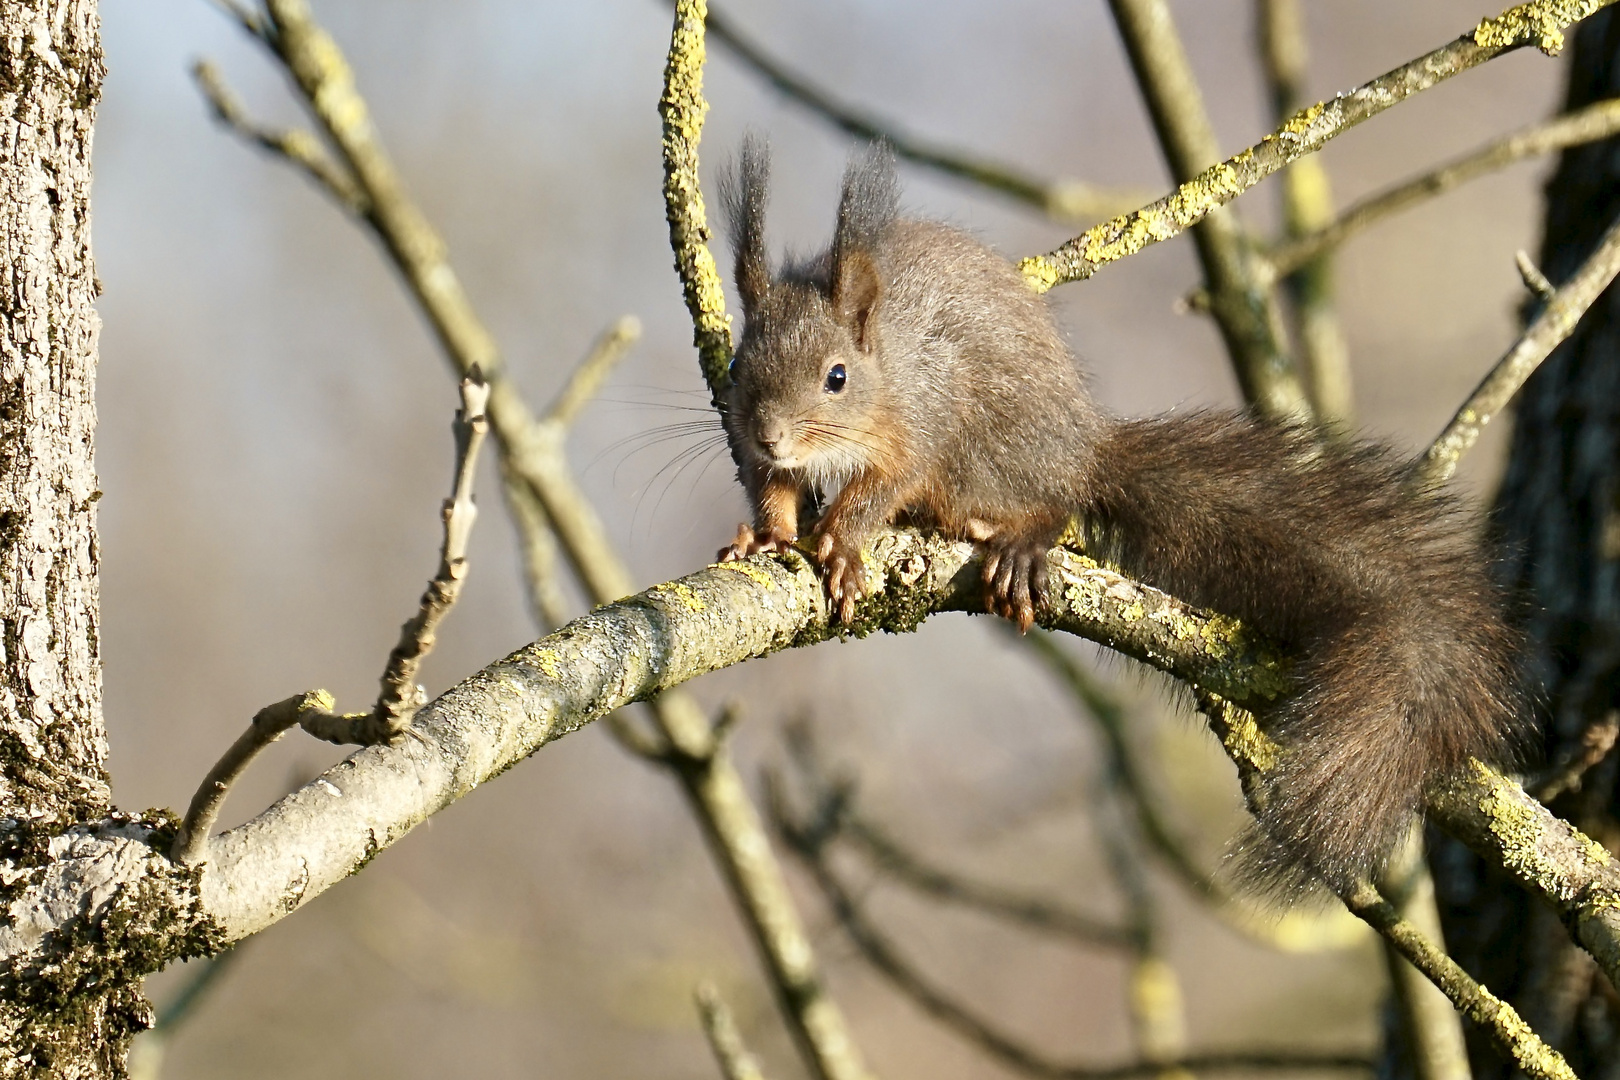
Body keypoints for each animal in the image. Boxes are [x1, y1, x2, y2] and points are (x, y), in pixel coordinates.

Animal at [712, 139, 1529, 900]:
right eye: (737, 368)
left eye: (837, 377)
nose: (771, 434)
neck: (887, 363)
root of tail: (1084, 446)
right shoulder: (765, 457)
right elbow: (773, 492)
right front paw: (768, 533)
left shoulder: (921, 426)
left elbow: (883, 489)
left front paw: (844, 545)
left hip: (998, 451)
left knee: (1048, 503)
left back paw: (1017, 541)